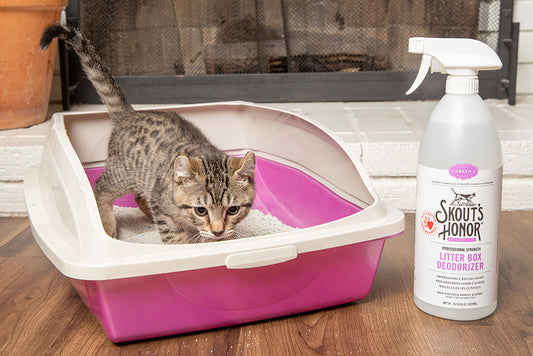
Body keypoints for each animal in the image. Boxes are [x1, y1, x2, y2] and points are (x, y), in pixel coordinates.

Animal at [38, 24, 255, 242]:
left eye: (233, 209)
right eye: (200, 210)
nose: (218, 230)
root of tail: (129, 113)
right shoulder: (163, 207)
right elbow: (173, 236)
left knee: (139, 195)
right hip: (122, 173)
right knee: (100, 187)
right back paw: (107, 223)